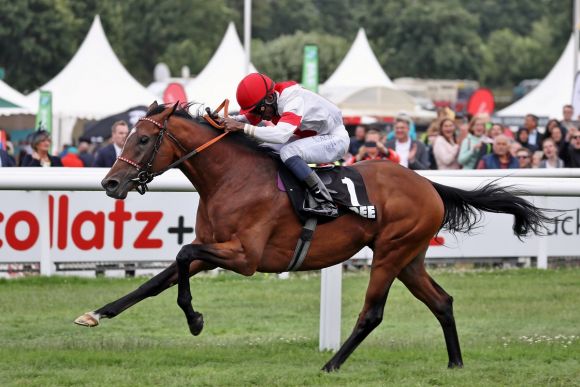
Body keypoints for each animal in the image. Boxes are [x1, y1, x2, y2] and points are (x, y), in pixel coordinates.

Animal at [75, 103, 552, 372]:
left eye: (143, 138)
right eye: (127, 136)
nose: (110, 183)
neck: (231, 178)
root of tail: (428, 184)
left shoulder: (244, 257)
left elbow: (181, 252)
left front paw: (195, 320)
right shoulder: (216, 250)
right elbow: (159, 278)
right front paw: (96, 313)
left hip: (391, 253)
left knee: (372, 313)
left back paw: (331, 364)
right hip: (409, 258)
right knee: (442, 302)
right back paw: (455, 363)